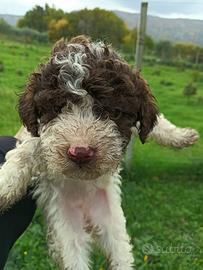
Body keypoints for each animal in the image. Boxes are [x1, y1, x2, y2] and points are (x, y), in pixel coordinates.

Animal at [0, 36, 200, 270]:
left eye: (112, 111)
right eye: (58, 108)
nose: (80, 152)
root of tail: (88, 217)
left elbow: (159, 124)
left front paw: (182, 135)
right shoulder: (37, 135)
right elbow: (31, 147)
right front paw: (5, 184)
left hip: (112, 223)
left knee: (121, 255)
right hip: (68, 230)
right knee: (75, 255)